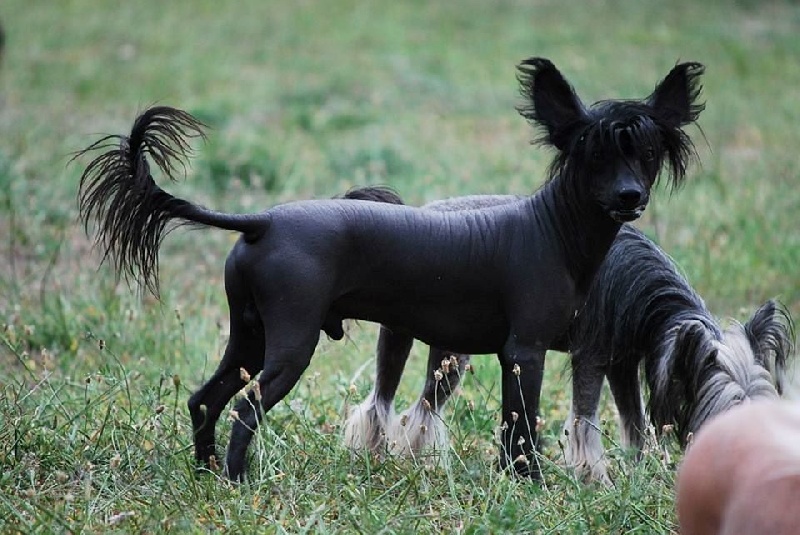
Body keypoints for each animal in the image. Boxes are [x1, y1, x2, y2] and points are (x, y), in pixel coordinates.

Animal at [77, 57, 703, 480]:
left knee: (206, 399)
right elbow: (523, 427)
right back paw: (236, 480)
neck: (552, 228)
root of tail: (264, 221)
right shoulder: (525, 353)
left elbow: (512, 429)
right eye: (593, 153)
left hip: (249, 336)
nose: (629, 197)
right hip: (291, 344)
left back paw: (206, 473)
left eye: (647, 153)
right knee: (245, 407)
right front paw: (532, 485)